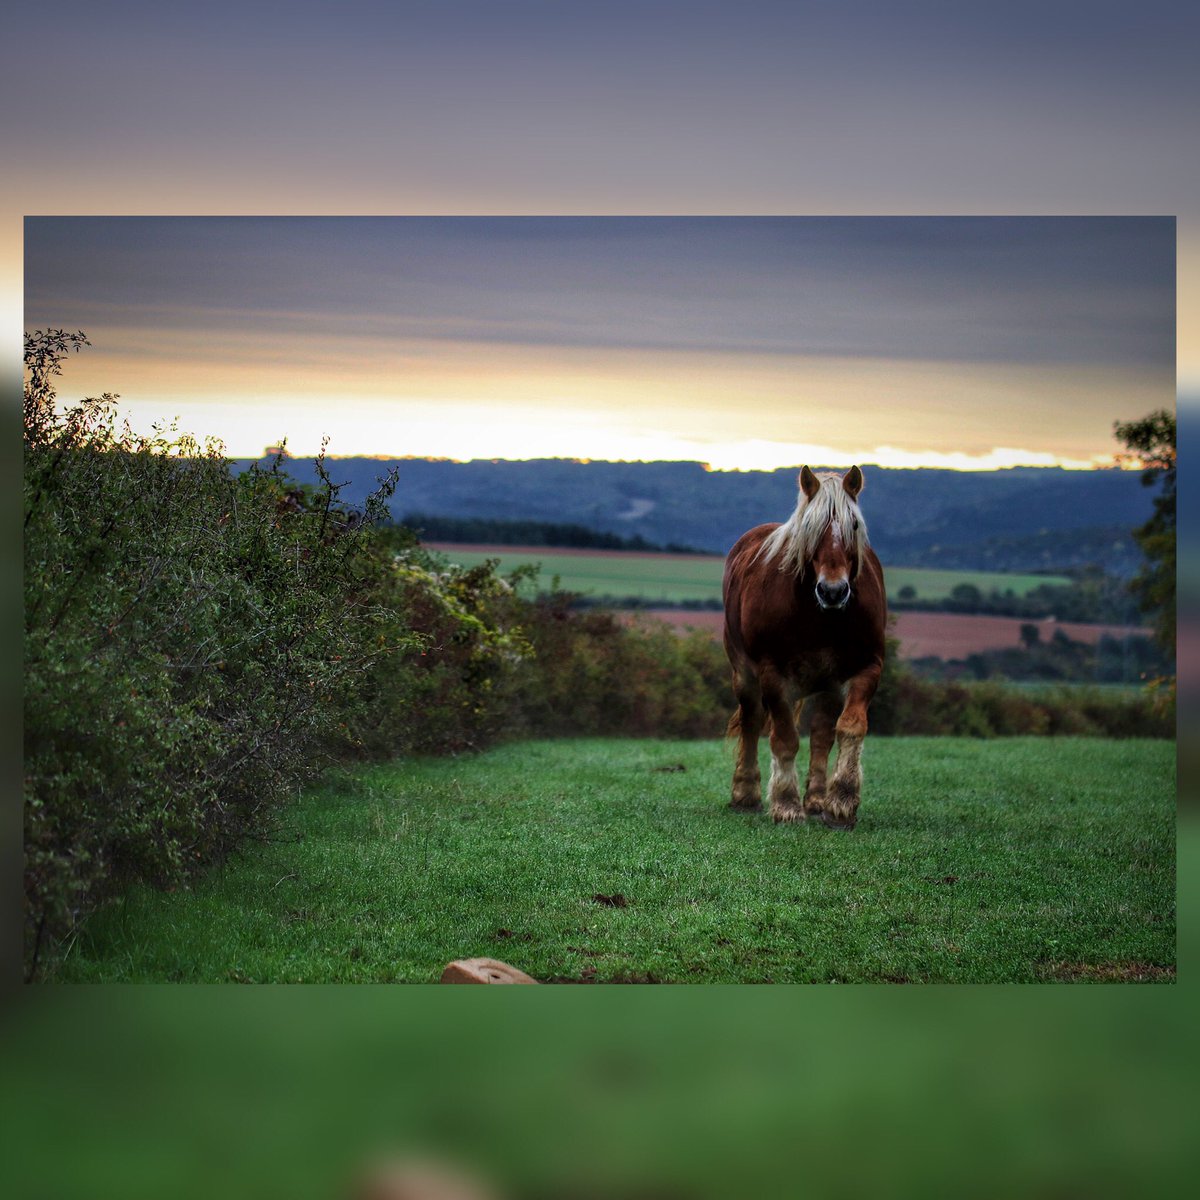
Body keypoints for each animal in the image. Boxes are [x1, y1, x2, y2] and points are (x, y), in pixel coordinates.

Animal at [722, 465, 887, 829]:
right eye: (810, 527)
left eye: (854, 525)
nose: (833, 591)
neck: (821, 617)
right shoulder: (772, 674)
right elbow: (783, 737)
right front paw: (785, 804)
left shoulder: (866, 667)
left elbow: (850, 728)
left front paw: (841, 802)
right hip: (743, 672)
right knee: (752, 721)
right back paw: (746, 794)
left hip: (828, 683)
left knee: (823, 734)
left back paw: (816, 799)